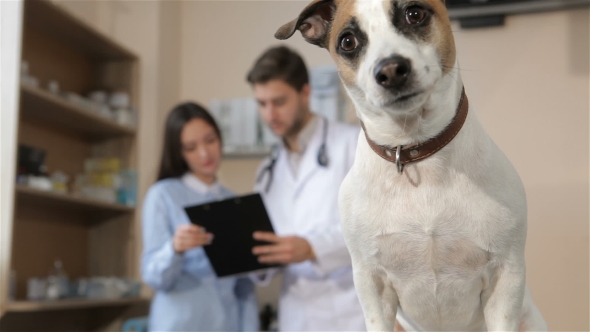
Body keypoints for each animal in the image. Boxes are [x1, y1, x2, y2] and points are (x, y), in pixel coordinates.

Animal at [276, 0, 552, 330]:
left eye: (414, 13)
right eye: (348, 41)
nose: (391, 70)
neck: (415, 149)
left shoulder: (505, 276)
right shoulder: (372, 285)